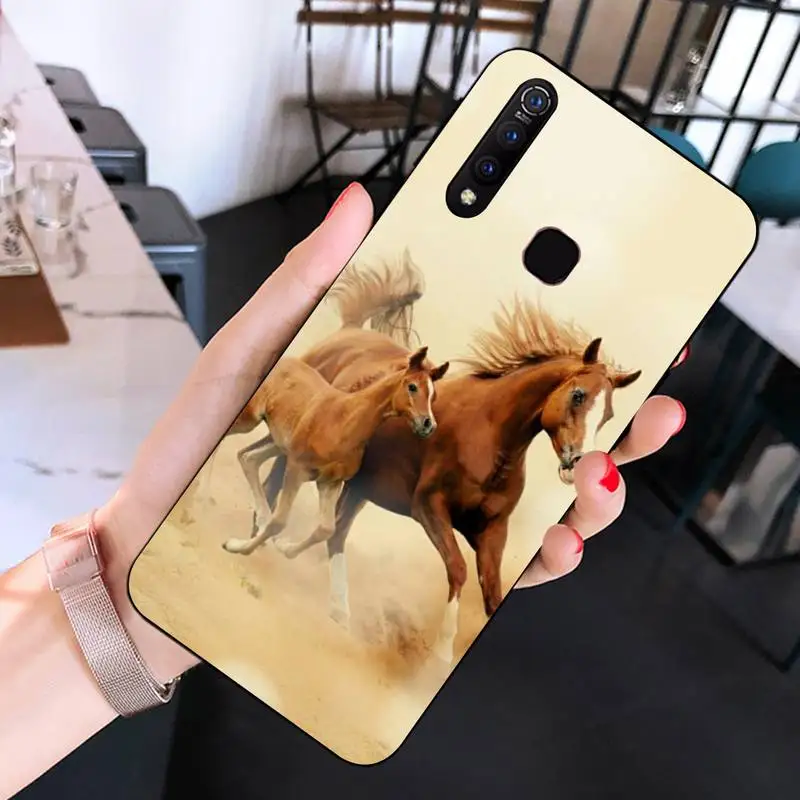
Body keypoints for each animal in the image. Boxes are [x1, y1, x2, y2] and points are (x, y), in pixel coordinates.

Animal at [261, 297, 642, 663]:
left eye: (608, 414)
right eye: (578, 395)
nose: (577, 464)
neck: (489, 437)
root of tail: (349, 330)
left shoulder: (491, 532)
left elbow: (492, 593)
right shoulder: (429, 507)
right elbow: (457, 569)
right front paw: (443, 653)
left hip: (358, 487)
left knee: (335, 533)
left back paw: (337, 609)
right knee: (275, 483)